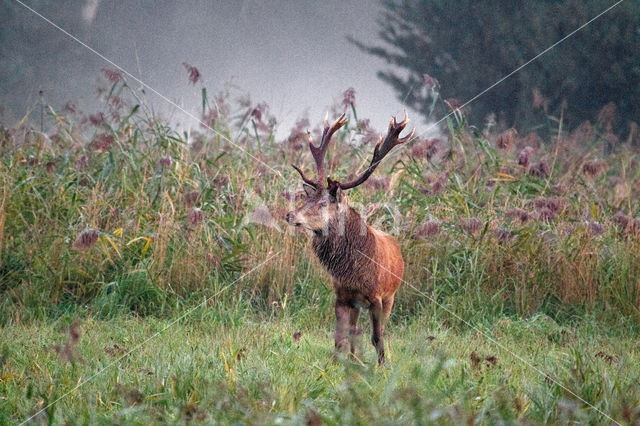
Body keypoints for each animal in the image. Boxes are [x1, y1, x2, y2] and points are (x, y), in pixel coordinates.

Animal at [286, 111, 416, 364]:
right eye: (307, 198)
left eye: (323, 203)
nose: (289, 214)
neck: (355, 273)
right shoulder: (342, 296)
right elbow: (339, 338)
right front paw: (335, 365)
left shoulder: (377, 297)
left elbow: (377, 337)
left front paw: (382, 365)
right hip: (357, 304)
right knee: (354, 331)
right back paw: (355, 360)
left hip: (391, 296)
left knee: (378, 330)